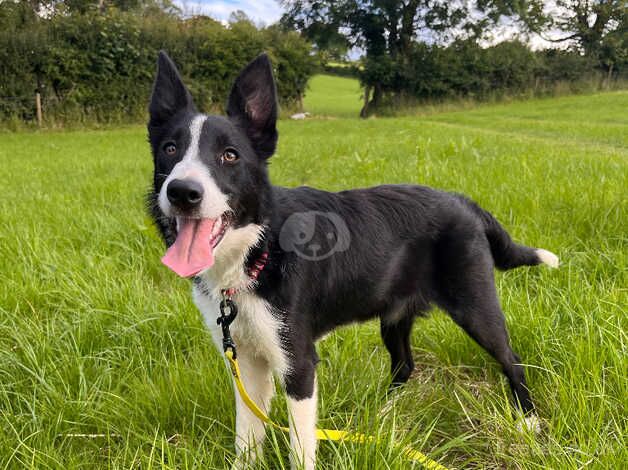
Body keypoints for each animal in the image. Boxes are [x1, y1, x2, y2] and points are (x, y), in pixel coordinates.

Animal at [147, 49, 560, 468]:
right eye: (170, 149)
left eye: (229, 155)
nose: (182, 192)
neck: (258, 247)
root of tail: (463, 202)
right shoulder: (245, 361)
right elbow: (247, 437)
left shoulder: (299, 363)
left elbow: (300, 447)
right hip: (394, 315)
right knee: (404, 363)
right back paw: (382, 418)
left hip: (475, 306)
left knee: (511, 357)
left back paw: (528, 422)